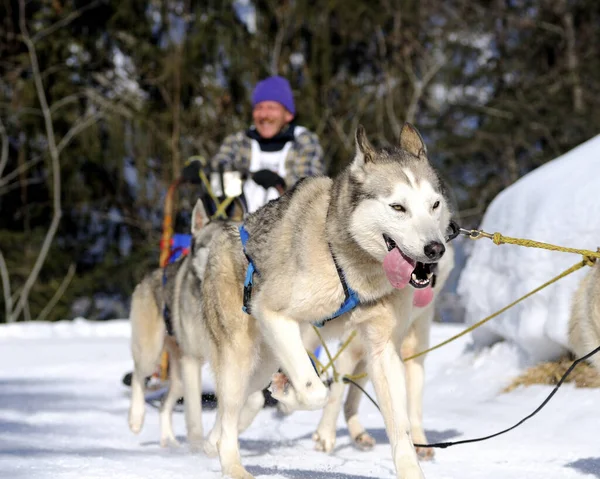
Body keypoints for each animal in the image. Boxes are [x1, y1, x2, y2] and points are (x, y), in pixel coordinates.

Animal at [304, 246, 454, 460]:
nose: (429, 265)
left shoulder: (411, 360)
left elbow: (414, 409)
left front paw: (420, 443)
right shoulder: (348, 353)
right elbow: (335, 396)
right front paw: (325, 436)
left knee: (351, 402)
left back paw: (359, 434)